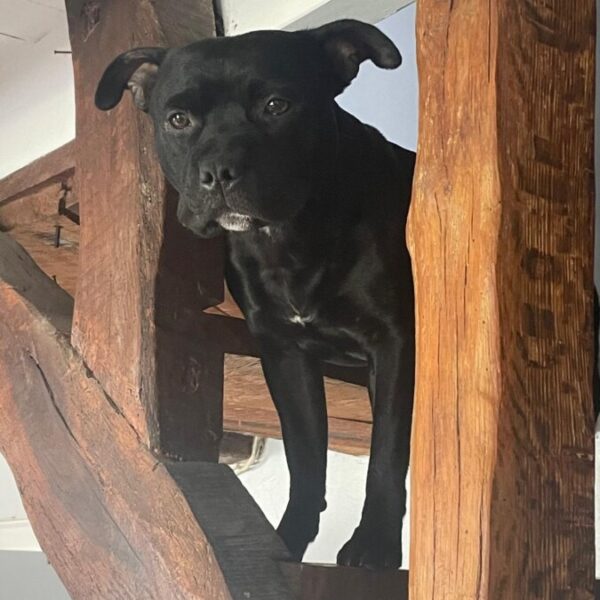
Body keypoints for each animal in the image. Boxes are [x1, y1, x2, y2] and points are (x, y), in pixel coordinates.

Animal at [97, 21, 418, 568]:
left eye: (276, 105)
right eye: (178, 119)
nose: (219, 171)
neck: (286, 237)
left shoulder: (392, 341)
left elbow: (386, 453)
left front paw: (373, 544)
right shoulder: (287, 357)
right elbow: (305, 459)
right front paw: (285, 541)